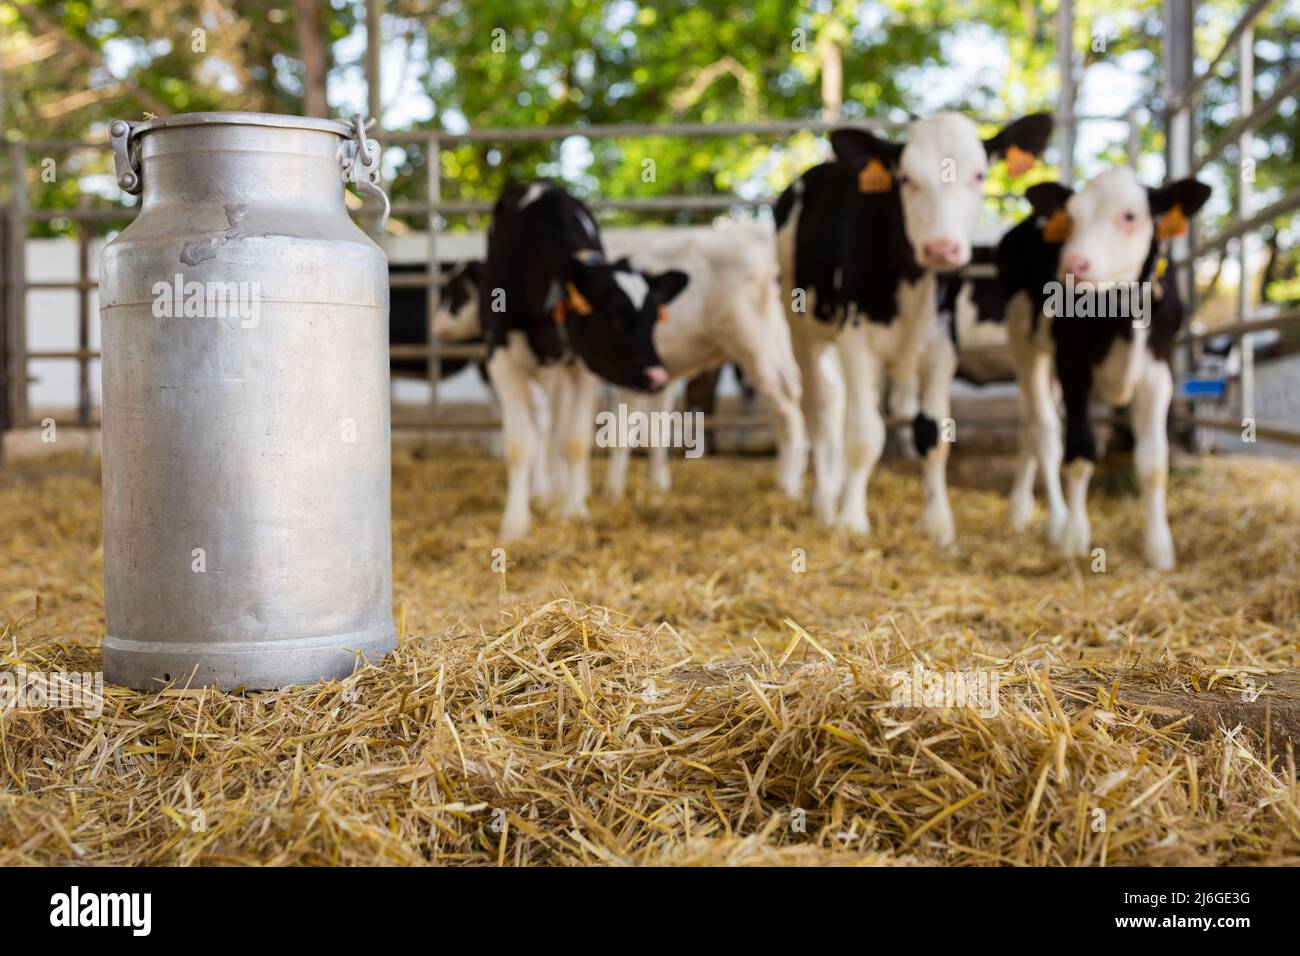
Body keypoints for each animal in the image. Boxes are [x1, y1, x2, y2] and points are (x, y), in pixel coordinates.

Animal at [482, 181, 688, 541]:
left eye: (654, 318)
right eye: (614, 319)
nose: (658, 377)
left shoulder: (582, 364)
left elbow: (574, 440)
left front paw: (574, 510)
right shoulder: (501, 357)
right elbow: (520, 444)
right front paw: (515, 525)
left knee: (555, 426)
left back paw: (564, 491)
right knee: (543, 425)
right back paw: (544, 491)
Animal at [775, 112, 1054, 542]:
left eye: (978, 175)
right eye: (905, 178)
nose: (941, 248)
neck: (911, 279)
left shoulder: (943, 345)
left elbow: (933, 435)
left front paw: (938, 524)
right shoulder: (854, 337)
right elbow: (864, 434)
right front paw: (851, 520)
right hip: (804, 330)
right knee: (820, 408)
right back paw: (824, 501)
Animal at [998, 169, 1211, 569]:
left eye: (1130, 216)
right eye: (1071, 219)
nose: (1071, 265)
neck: (1118, 312)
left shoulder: (1158, 373)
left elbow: (1153, 461)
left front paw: (1159, 548)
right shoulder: (1073, 365)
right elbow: (1080, 450)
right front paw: (1073, 536)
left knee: (1027, 426)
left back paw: (1022, 508)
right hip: (1025, 346)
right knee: (1044, 432)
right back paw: (1050, 518)